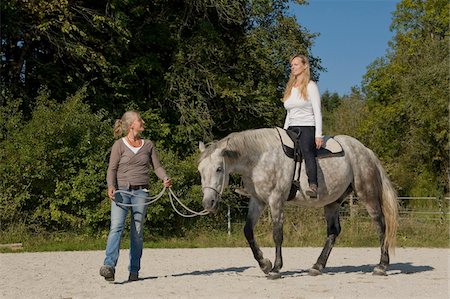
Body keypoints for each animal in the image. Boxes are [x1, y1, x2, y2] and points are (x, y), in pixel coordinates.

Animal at [199, 127, 400, 280]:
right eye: (200, 170)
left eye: (218, 169)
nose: (208, 202)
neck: (260, 157)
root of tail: (366, 150)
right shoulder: (258, 201)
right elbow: (248, 231)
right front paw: (264, 264)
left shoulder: (276, 200)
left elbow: (277, 235)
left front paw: (275, 268)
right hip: (333, 201)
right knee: (333, 231)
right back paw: (317, 266)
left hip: (368, 195)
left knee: (381, 226)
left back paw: (382, 266)